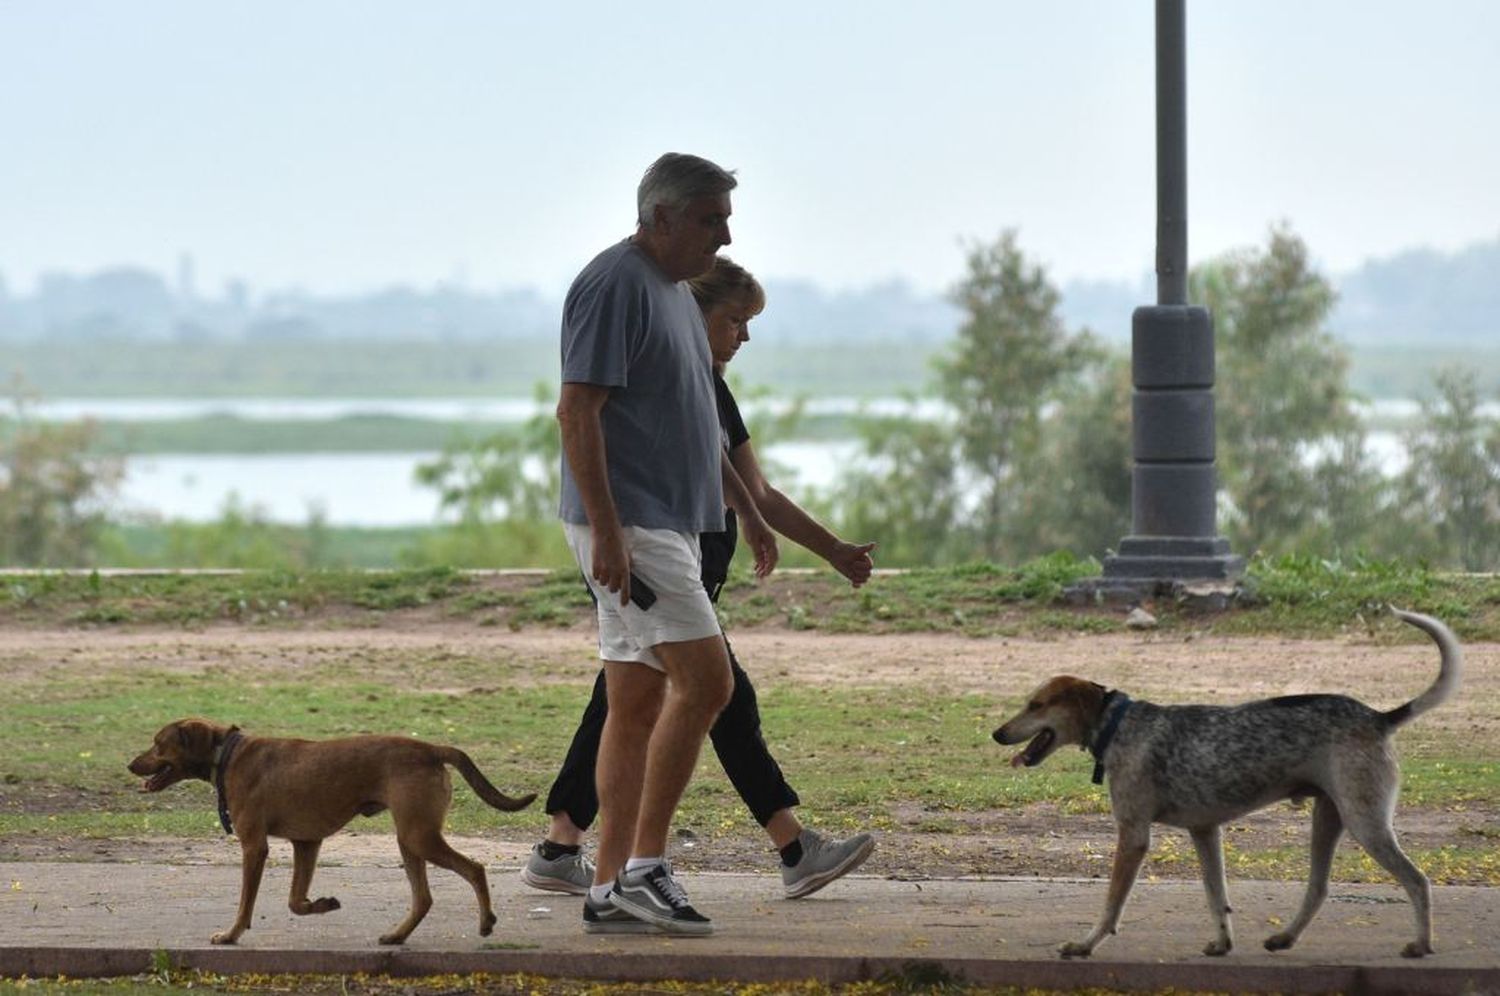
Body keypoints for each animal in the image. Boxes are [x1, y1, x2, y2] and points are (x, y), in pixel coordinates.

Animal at [127, 720, 540, 948]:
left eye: (158, 743)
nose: (130, 764)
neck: (226, 753)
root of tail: (431, 748)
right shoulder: (307, 843)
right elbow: (295, 901)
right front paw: (322, 904)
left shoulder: (254, 847)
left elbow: (246, 903)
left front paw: (231, 936)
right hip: (409, 839)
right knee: (423, 898)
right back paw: (396, 936)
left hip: (419, 835)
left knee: (474, 869)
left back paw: (485, 922)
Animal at [990, 606, 1458, 960]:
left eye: (1036, 704)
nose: (997, 733)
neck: (1119, 725)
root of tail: (1378, 717)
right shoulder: (1205, 832)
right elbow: (1217, 897)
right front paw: (1222, 943)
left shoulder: (1134, 836)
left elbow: (1111, 907)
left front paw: (1085, 945)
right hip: (1329, 819)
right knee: (1318, 888)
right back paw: (1284, 937)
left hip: (1366, 822)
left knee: (1418, 880)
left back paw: (1421, 944)